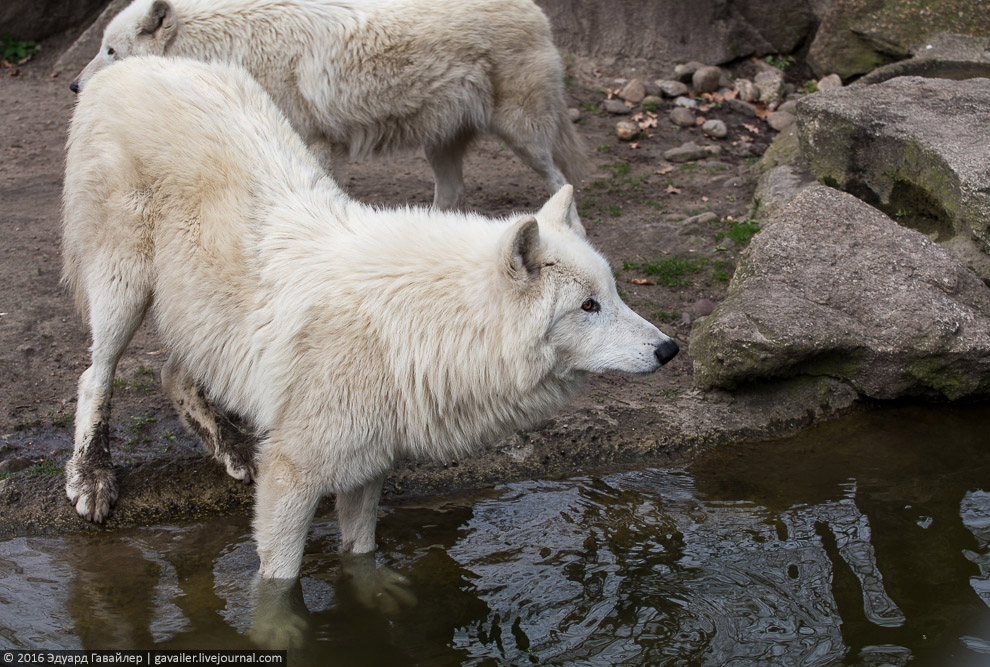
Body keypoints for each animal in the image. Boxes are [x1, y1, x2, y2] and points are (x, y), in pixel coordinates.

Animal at [64, 57, 680, 588]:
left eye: (614, 294)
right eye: (588, 306)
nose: (669, 349)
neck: (423, 326)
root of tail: (130, 64)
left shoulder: (366, 468)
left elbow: (360, 555)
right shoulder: (292, 476)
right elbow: (279, 584)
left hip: (197, 312)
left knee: (172, 373)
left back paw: (235, 451)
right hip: (123, 289)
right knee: (95, 375)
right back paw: (92, 477)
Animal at [75, 0, 588, 214]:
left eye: (111, 51)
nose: (75, 86)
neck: (228, 46)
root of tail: (537, 11)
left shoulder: (318, 143)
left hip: (523, 137)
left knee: (561, 180)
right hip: (440, 143)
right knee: (453, 192)